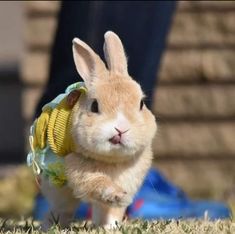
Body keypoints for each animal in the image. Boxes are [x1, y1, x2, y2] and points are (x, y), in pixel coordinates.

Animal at [40, 31, 158, 230]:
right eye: (94, 106)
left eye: (141, 104)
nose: (121, 129)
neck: (111, 160)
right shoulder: (81, 172)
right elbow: (100, 184)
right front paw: (116, 194)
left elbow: (111, 212)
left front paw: (112, 226)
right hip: (59, 190)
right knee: (59, 210)